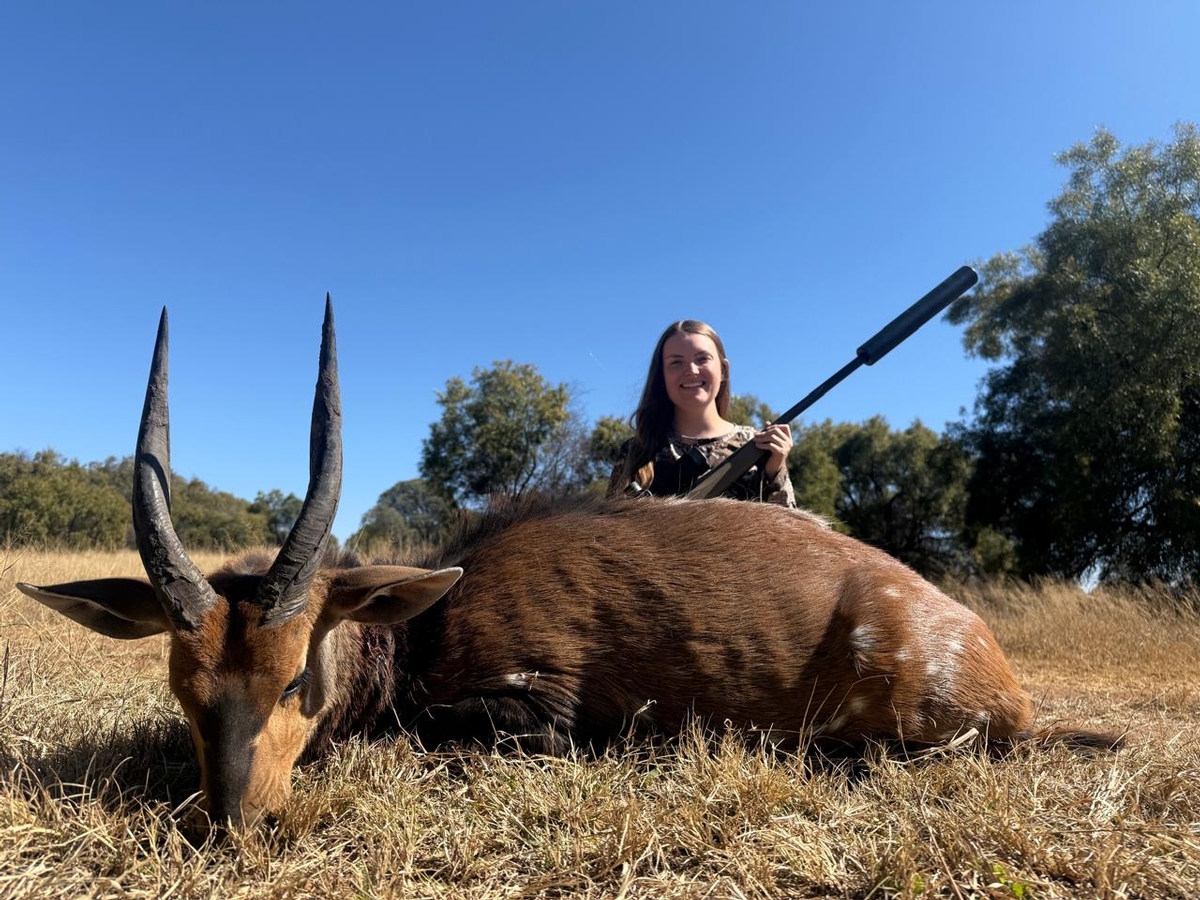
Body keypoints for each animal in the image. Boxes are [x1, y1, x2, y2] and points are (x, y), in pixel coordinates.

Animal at [17, 300, 1119, 828]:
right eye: (184, 690)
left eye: (295, 680)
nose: (234, 824)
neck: (427, 620)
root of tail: (1002, 676)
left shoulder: (540, 702)